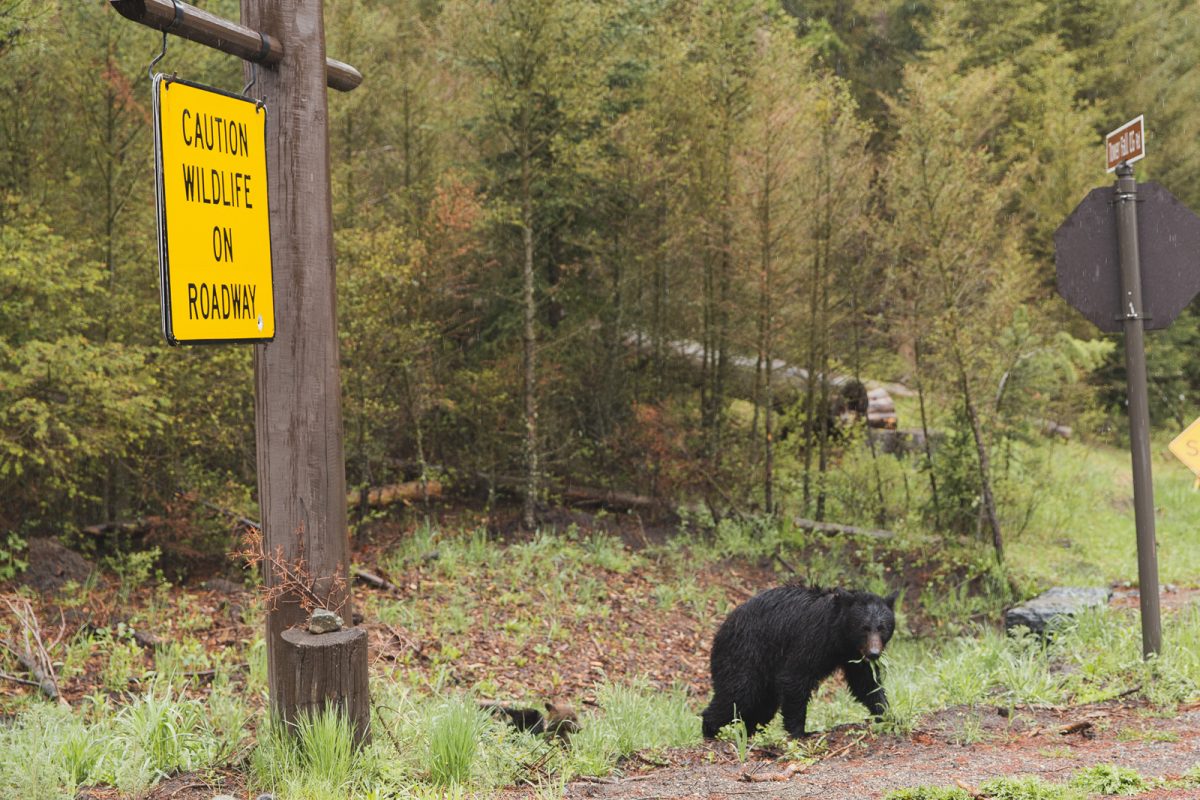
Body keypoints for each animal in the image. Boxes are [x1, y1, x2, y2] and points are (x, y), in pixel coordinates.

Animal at [700, 585, 897, 743]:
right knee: (738, 693)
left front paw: (889, 716)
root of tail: (721, 630)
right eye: (864, 628)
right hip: (745, 654)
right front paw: (800, 732)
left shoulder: (853, 654)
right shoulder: (811, 638)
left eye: (882, 628)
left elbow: (866, 683)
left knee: (762, 706)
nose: (874, 653)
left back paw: (751, 733)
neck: (839, 636)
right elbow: (795, 677)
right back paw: (711, 730)